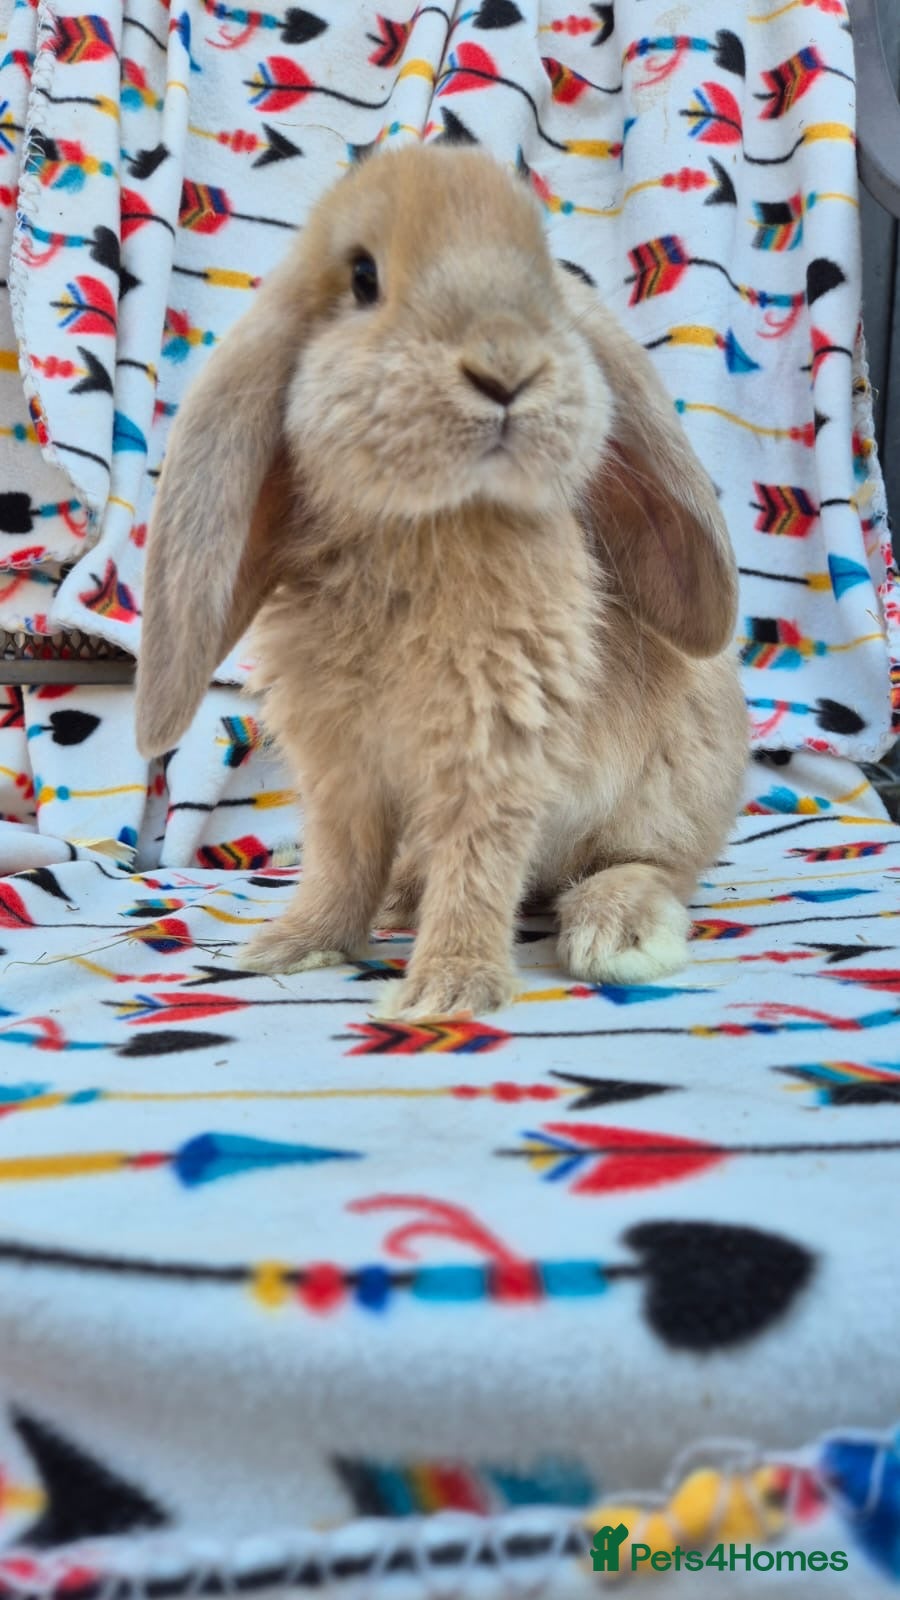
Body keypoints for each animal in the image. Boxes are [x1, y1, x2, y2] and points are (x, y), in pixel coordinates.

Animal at [135, 141, 748, 1021]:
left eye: (546, 273)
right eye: (363, 278)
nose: (506, 366)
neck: (429, 522)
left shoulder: (494, 747)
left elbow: (477, 864)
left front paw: (445, 993)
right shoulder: (342, 768)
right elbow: (342, 860)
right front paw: (297, 943)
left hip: (664, 794)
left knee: (651, 867)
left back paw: (618, 933)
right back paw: (400, 899)